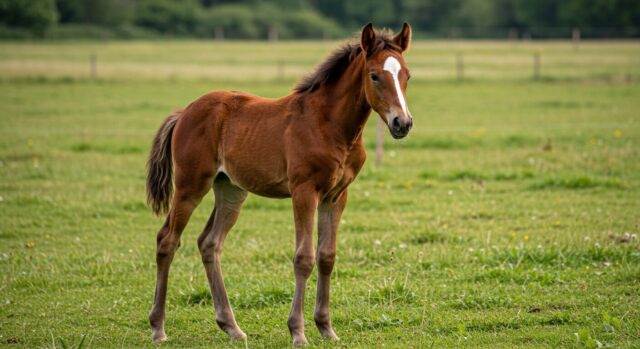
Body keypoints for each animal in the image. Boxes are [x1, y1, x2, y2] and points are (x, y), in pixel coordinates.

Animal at [146, 22, 416, 346]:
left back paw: (231, 326)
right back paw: (158, 327)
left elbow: (327, 256)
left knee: (209, 243)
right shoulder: (304, 191)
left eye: (407, 75)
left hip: (231, 190)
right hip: (190, 185)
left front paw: (326, 328)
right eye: (374, 75)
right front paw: (298, 332)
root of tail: (185, 111)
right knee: (167, 240)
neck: (330, 125)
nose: (403, 123)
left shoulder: (337, 196)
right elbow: (304, 257)